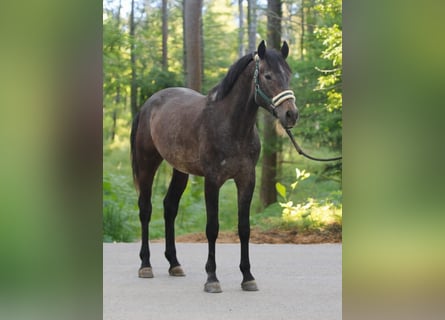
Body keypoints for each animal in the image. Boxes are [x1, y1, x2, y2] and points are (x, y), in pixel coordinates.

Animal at [132, 40, 298, 292]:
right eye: (268, 76)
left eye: (288, 75)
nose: (291, 114)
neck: (231, 126)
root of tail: (147, 105)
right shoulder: (212, 181)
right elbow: (212, 228)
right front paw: (212, 278)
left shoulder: (246, 180)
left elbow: (244, 228)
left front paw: (247, 276)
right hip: (146, 163)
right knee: (145, 209)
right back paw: (145, 265)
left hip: (180, 170)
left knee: (170, 207)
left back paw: (174, 263)